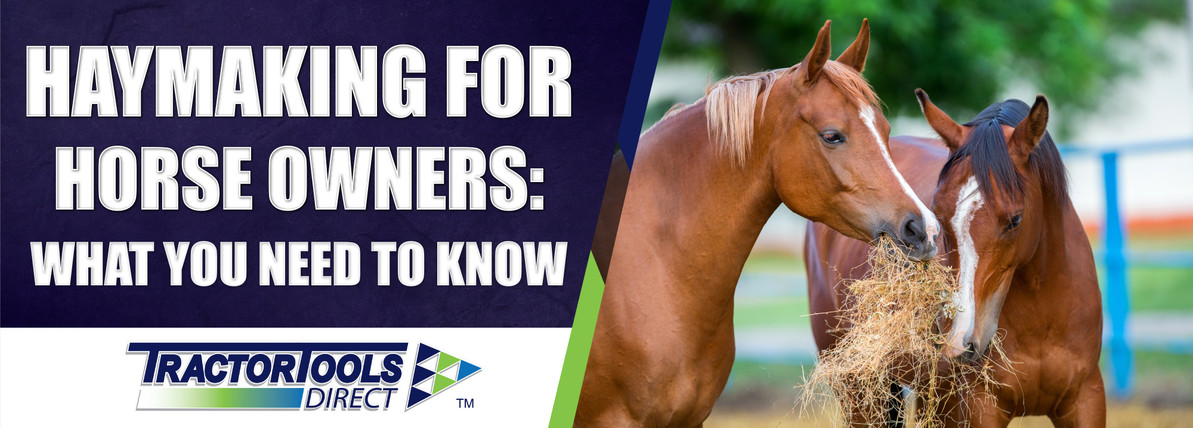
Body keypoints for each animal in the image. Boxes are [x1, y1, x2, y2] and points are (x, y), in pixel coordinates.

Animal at [805, 92, 1105, 426]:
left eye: (1015, 220)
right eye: (939, 214)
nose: (961, 341)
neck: (1042, 318)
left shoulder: (1085, 400)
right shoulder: (977, 408)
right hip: (861, 393)